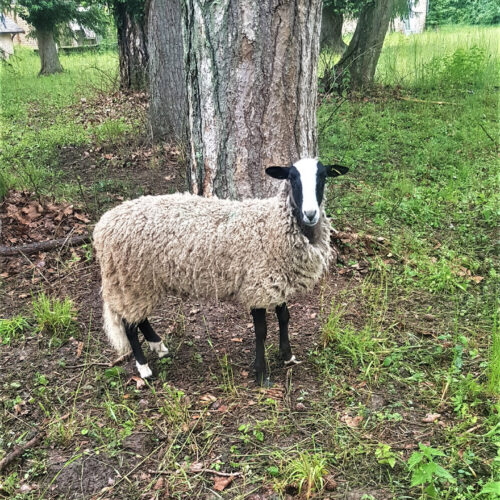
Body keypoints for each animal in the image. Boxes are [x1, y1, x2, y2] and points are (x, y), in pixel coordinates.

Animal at [93, 158, 348, 384]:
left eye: (323, 176)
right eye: (292, 178)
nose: (311, 214)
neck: (274, 223)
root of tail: (103, 225)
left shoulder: (276, 280)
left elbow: (285, 318)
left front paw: (287, 356)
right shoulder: (257, 284)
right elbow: (261, 330)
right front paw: (261, 374)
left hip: (142, 281)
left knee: (140, 318)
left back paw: (159, 346)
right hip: (130, 280)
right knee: (129, 324)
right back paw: (144, 368)